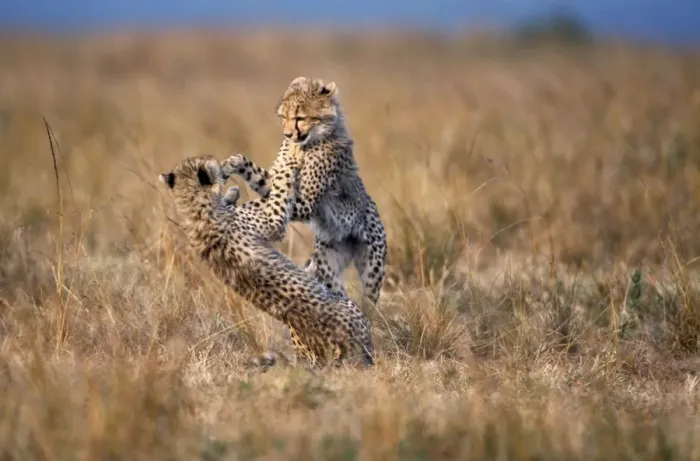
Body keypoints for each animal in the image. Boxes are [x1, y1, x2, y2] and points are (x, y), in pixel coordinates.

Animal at [157, 147, 375, 368]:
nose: (217, 162)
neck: (193, 207)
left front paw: (231, 193)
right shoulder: (273, 222)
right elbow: (278, 192)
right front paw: (291, 160)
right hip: (352, 310)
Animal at [223, 76, 387, 309]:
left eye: (300, 117)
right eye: (283, 117)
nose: (287, 134)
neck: (310, 140)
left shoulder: (306, 202)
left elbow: (273, 195)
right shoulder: (274, 183)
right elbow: (265, 181)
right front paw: (233, 163)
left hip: (372, 270)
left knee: (370, 303)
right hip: (329, 263)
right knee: (336, 290)